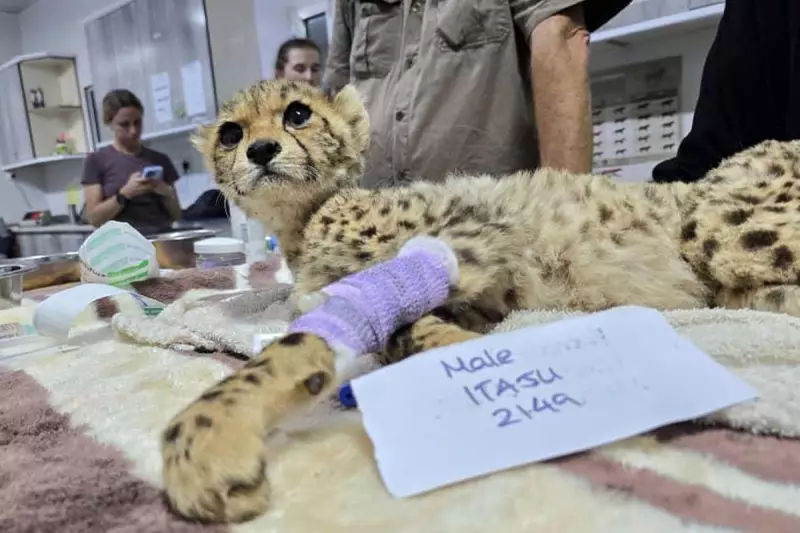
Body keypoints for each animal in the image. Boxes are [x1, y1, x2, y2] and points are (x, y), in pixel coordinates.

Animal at [160, 78, 800, 523]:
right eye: (231, 133)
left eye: (297, 113)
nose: (262, 150)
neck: (306, 219)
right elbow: (397, 329)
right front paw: (452, 350)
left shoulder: (476, 232)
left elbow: (304, 338)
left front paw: (203, 438)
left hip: (719, 225)